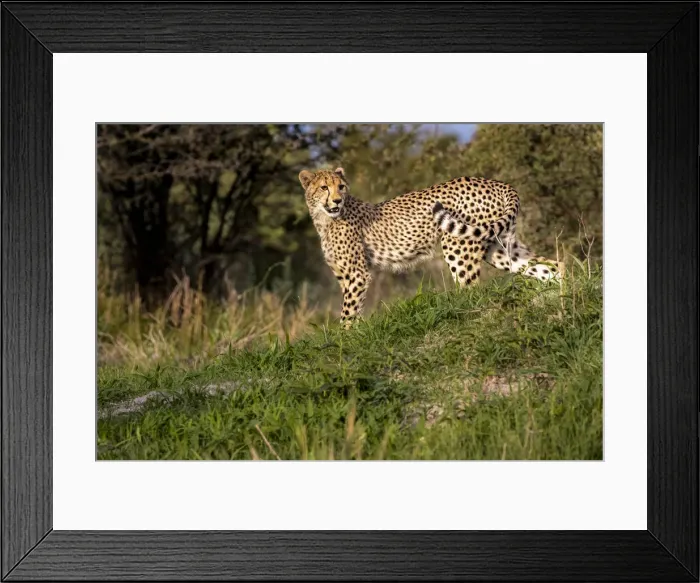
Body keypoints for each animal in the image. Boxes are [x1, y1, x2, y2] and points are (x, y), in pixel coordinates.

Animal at [298, 167, 561, 328]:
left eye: (341, 186)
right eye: (324, 187)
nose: (337, 200)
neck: (325, 219)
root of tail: (493, 181)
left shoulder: (357, 274)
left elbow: (348, 312)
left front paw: (343, 342)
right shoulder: (345, 276)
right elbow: (353, 308)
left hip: (458, 245)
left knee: (473, 290)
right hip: (498, 245)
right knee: (551, 266)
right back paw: (560, 299)